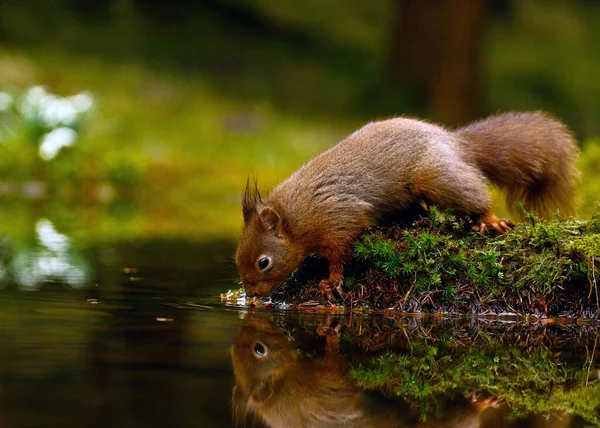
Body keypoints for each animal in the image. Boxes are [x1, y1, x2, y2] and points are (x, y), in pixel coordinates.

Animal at [236, 112, 580, 300]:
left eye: (263, 262)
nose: (251, 296)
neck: (295, 216)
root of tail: (455, 143)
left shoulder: (338, 217)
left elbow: (340, 253)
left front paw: (332, 281)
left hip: (435, 177)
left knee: (473, 196)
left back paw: (489, 219)